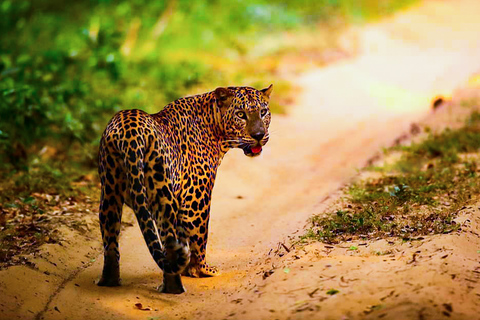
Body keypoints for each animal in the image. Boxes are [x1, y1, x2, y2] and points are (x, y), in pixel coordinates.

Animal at [96, 84, 274, 292]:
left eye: (263, 112)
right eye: (240, 114)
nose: (259, 136)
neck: (214, 127)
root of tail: (130, 130)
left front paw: (188, 267)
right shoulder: (196, 200)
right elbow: (200, 236)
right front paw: (201, 270)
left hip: (110, 194)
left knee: (110, 244)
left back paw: (109, 281)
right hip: (163, 196)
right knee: (169, 242)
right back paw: (174, 287)